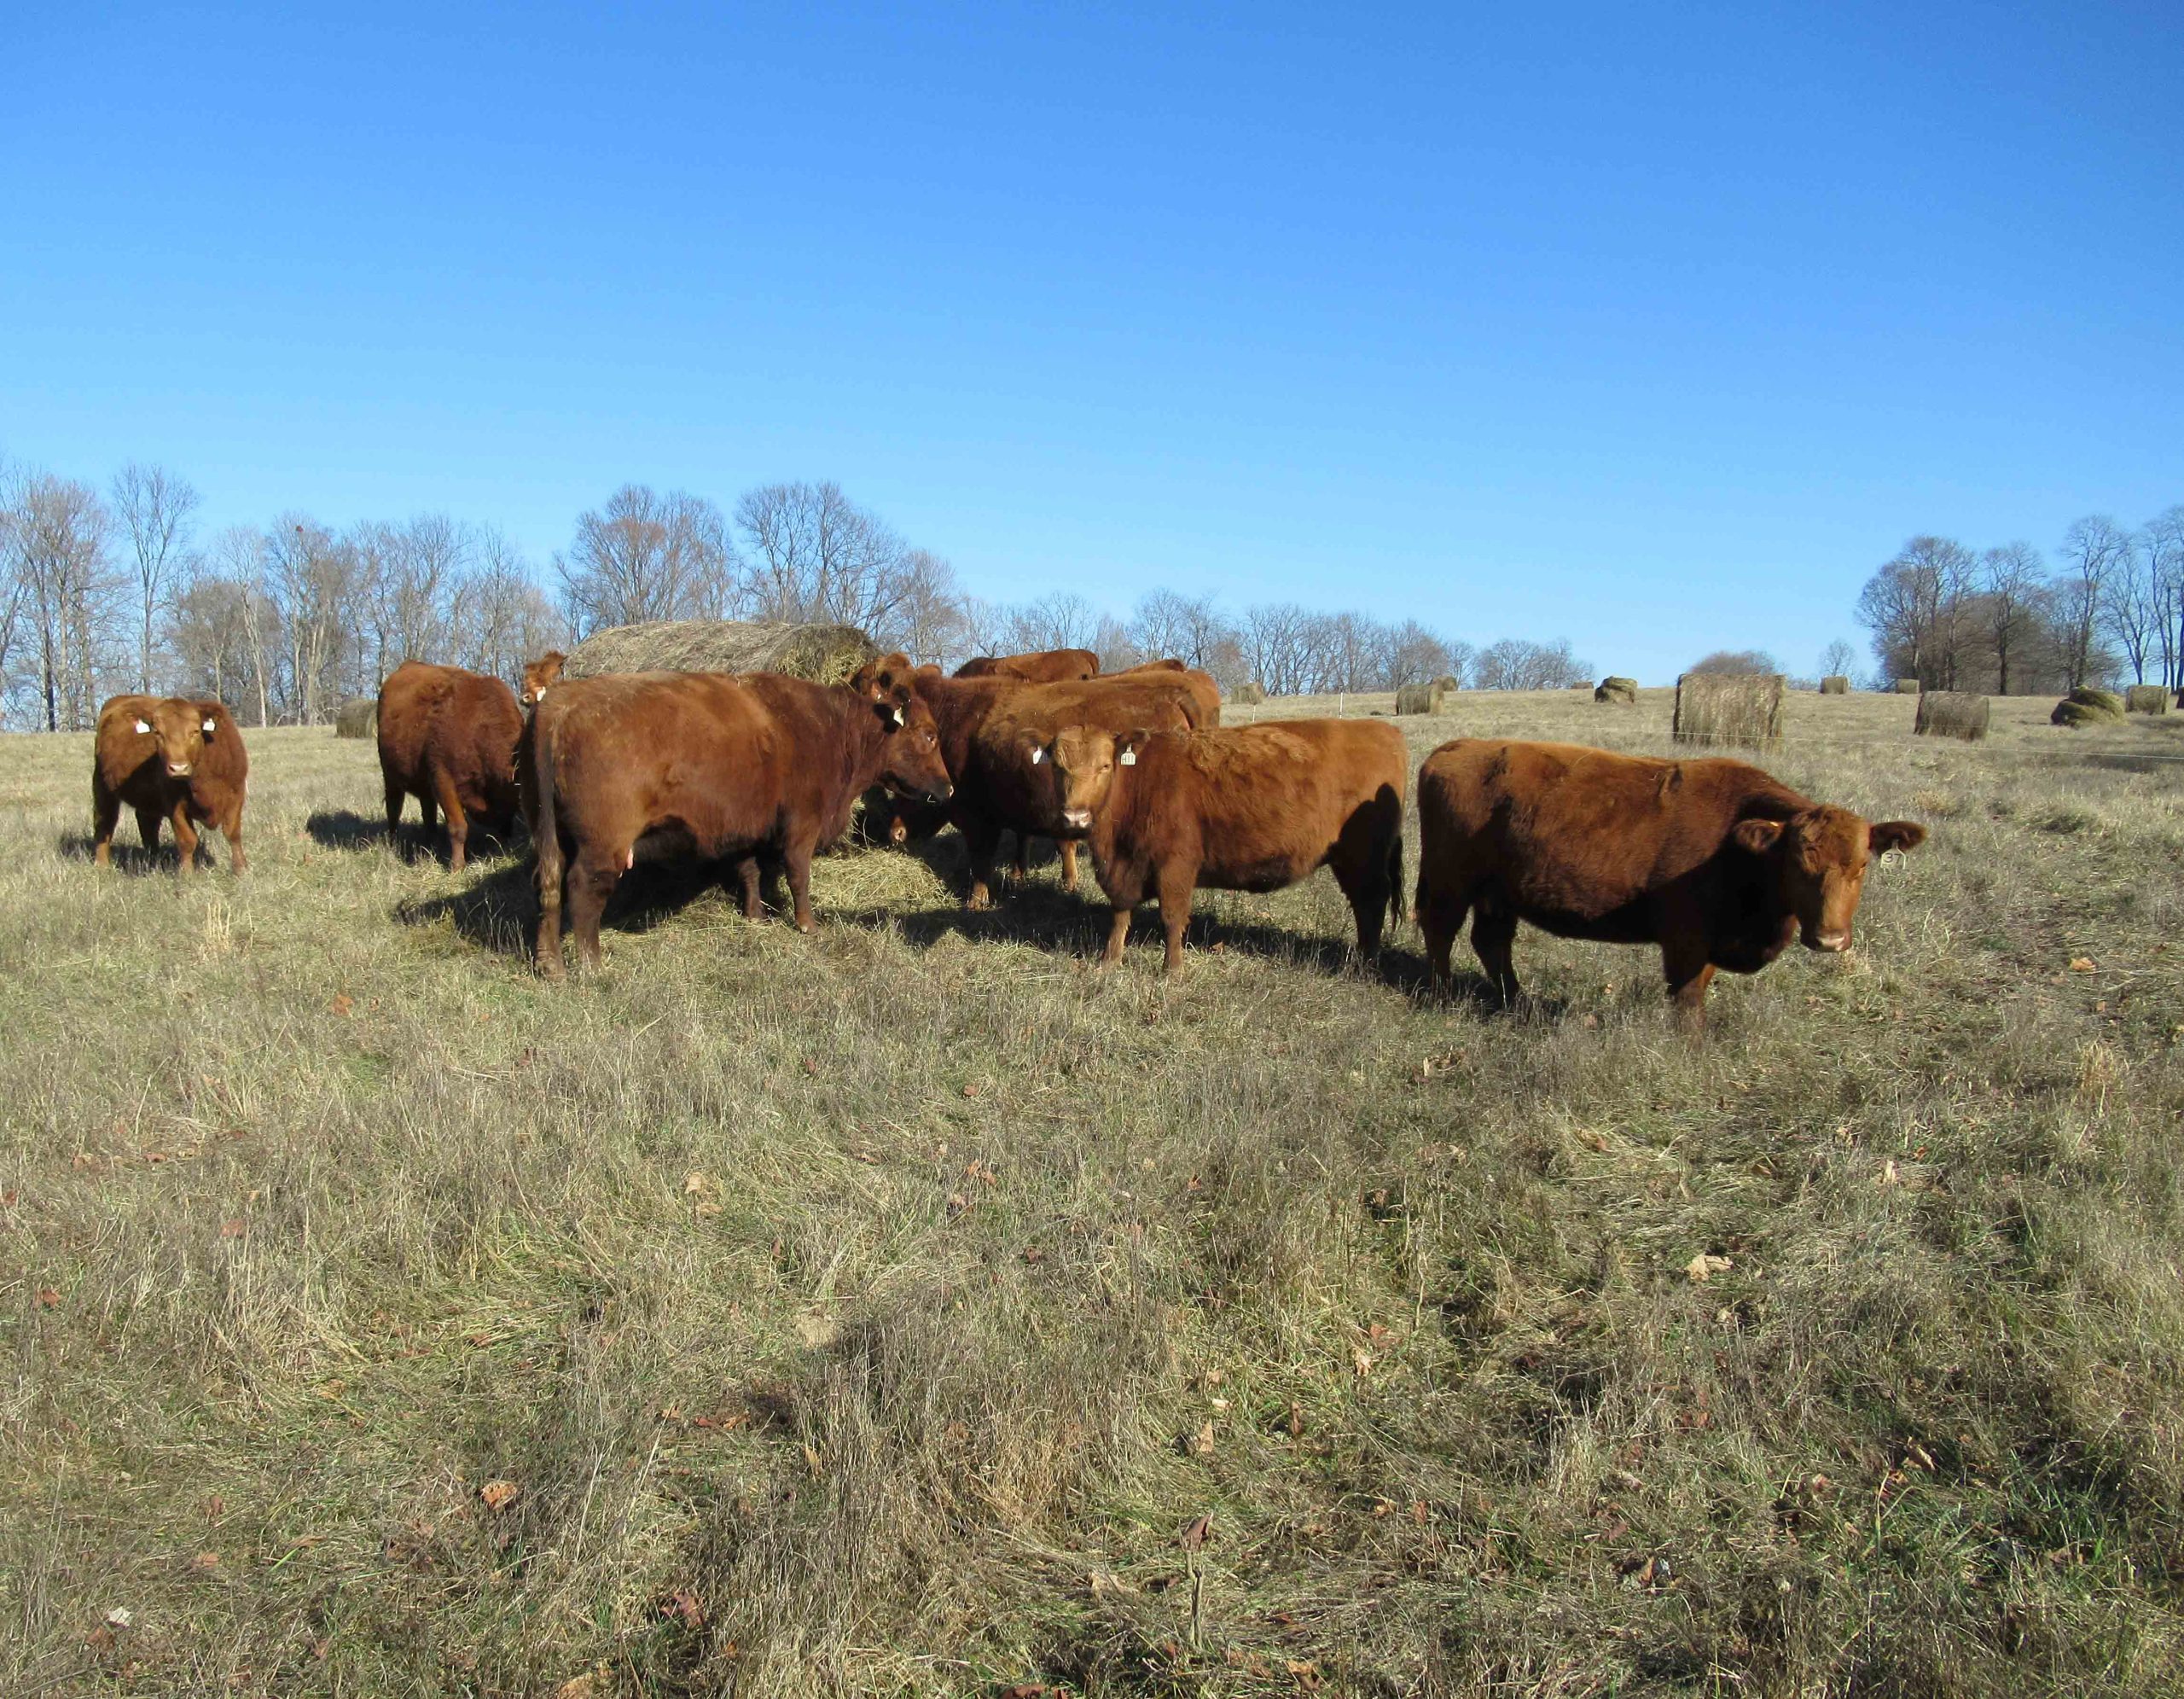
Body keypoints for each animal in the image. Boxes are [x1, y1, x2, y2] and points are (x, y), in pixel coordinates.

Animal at [92, 689, 250, 873]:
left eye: (195, 731)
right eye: (158, 733)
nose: (178, 768)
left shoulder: (236, 794)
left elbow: (233, 833)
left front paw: (241, 869)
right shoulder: (174, 802)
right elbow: (187, 839)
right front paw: (187, 873)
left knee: (147, 824)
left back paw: (154, 860)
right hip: (102, 785)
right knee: (105, 821)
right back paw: (102, 864)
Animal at [377, 659, 526, 869]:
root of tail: (410, 664)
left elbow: (506, 827)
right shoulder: (444, 780)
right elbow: (458, 827)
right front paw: (457, 866)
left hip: (424, 783)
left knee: (428, 813)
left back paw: (431, 844)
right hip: (391, 776)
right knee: (394, 807)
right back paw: (393, 843)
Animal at [531, 650, 956, 965]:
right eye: (929, 734)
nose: (949, 787)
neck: (831, 727)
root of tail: (562, 702)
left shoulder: (748, 827)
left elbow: (750, 871)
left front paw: (756, 917)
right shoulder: (802, 825)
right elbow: (798, 875)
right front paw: (807, 925)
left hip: (553, 840)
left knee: (549, 885)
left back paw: (551, 964)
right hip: (604, 846)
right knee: (583, 888)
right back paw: (592, 964)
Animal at [1031, 716, 1406, 965]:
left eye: (1105, 766)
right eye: (1058, 767)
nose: (1075, 817)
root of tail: (1383, 729)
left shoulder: (1177, 866)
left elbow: (1173, 917)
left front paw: (1172, 971)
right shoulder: (1124, 870)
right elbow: (1121, 913)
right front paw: (1109, 962)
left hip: (1364, 857)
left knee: (1372, 901)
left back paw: (1366, 963)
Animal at [1406, 733, 1921, 1026]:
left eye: (1862, 864)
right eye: (1797, 862)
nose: (1830, 939)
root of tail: (1455, 749)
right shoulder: (1687, 937)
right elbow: (1688, 996)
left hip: (1498, 892)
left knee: (1491, 942)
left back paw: (1516, 1001)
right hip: (1452, 881)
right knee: (1440, 930)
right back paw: (1443, 995)